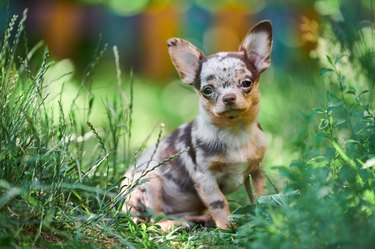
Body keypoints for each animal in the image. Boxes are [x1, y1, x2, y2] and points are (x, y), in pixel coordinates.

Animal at [122, 20, 274, 231]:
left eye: (246, 83)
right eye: (207, 90)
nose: (228, 98)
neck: (234, 131)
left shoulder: (256, 172)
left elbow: (259, 197)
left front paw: (265, 219)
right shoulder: (205, 178)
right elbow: (218, 202)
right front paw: (226, 227)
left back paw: (197, 220)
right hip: (150, 183)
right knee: (154, 220)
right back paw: (175, 224)